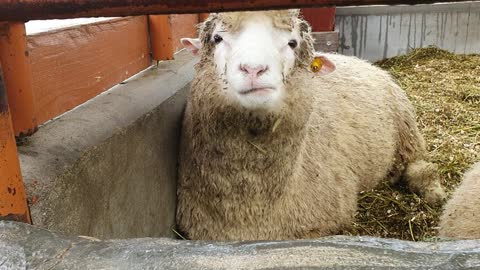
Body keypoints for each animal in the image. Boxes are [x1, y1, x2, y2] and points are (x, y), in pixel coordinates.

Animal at [176, 10, 446, 240]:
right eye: (217, 38)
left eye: (292, 43)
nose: (254, 69)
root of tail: (358, 60)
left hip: (407, 132)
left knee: (422, 167)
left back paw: (435, 194)